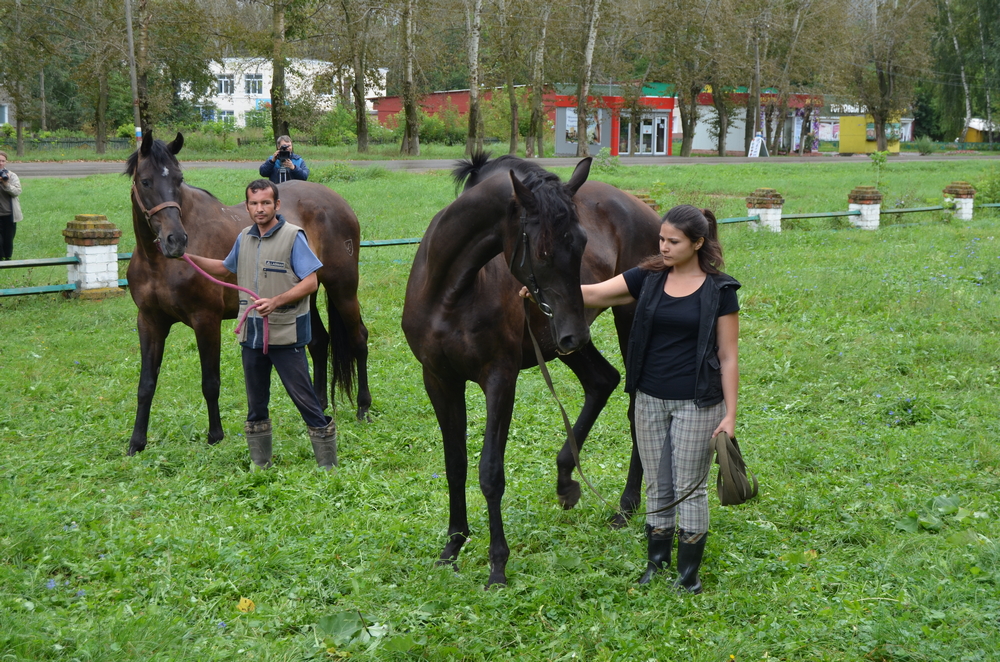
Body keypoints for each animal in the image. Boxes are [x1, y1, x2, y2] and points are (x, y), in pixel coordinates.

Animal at [125, 134, 372, 456]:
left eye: (179, 179)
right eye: (145, 181)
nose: (175, 240)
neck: (158, 263)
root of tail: (338, 202)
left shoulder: (206, 320)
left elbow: (210, 382)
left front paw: (215, 436)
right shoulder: (150, 322)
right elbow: (146, 384)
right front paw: (136, 442)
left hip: (342, 288)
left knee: (359, 340)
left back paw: (364, 408)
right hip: (305, 294)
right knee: (319, 342)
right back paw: (318, 407)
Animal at [402, 154, 660, 588]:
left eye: (583, 243)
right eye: (541, 251)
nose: (576, 332)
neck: (448, 292)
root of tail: (649, 213)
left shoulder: (499, 379)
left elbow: (490, 472)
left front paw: (497, 566)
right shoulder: (439, 380)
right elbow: (455, 465)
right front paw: (452, 547)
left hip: (618, 322)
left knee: (635, 406)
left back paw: (624, 508)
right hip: (560, 342)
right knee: (602, 381)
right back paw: (566, 480)